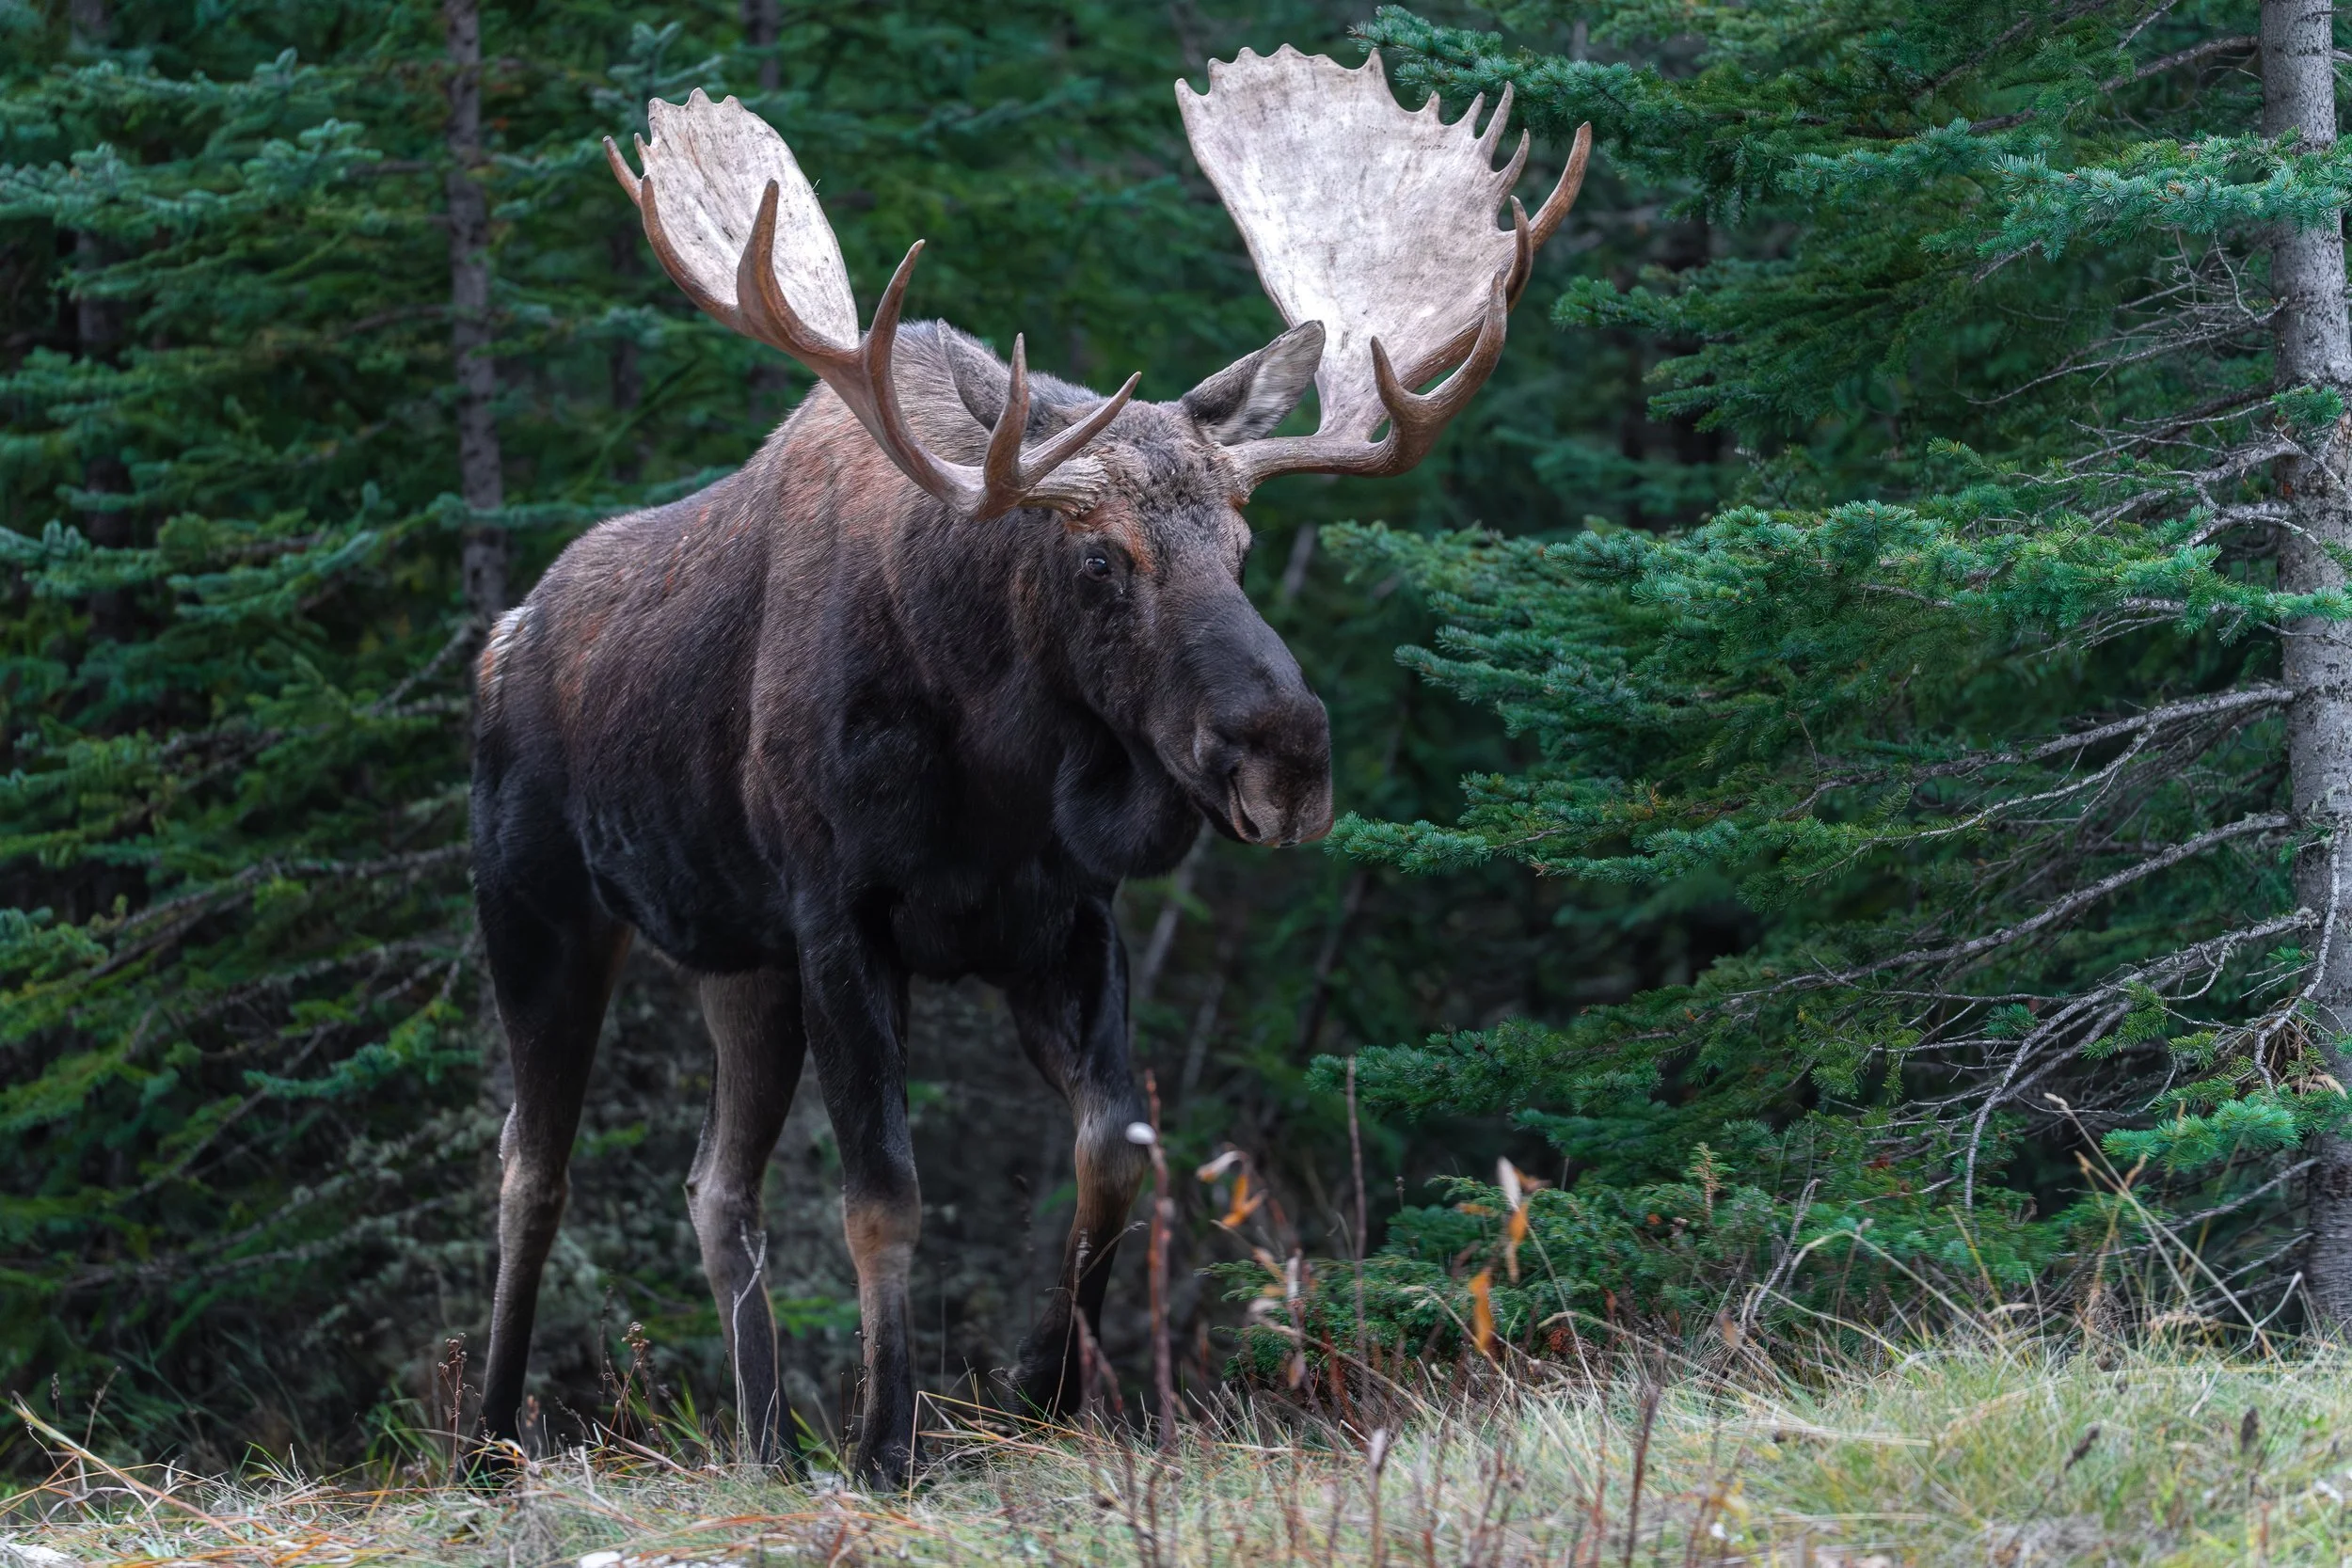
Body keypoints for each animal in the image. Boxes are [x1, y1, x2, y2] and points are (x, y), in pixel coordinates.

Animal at [469, 44, 1589, 1486]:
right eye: (1100, 557)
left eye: (1242, 541)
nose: (1288, 754)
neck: (995, 768)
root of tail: (503, 635)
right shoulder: (842, 916)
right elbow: (886, 1196)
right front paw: (887, 1442)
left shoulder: (1060, 918)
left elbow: (1114, 1149)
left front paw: (1044, 1388)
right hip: (540, 905)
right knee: (530, 1166)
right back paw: (491, 1439)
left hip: (737, 963)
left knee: (716, 1186)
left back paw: (765, 1440)